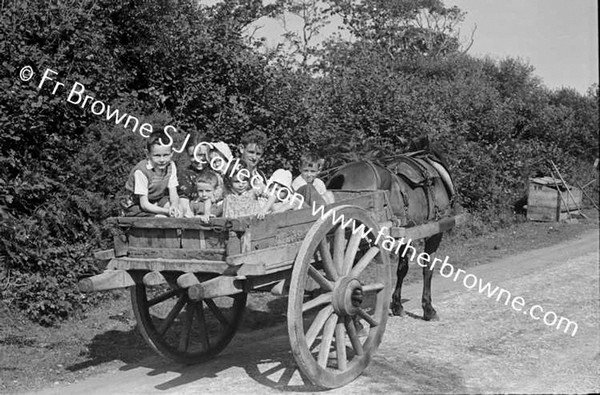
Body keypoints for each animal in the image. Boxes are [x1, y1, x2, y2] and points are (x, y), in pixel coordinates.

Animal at [326, 142, 452, 322]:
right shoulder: (435, 232)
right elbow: (427, 268)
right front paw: (428, 309)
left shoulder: (406, 236)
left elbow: (402, 269)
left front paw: (397, 306)